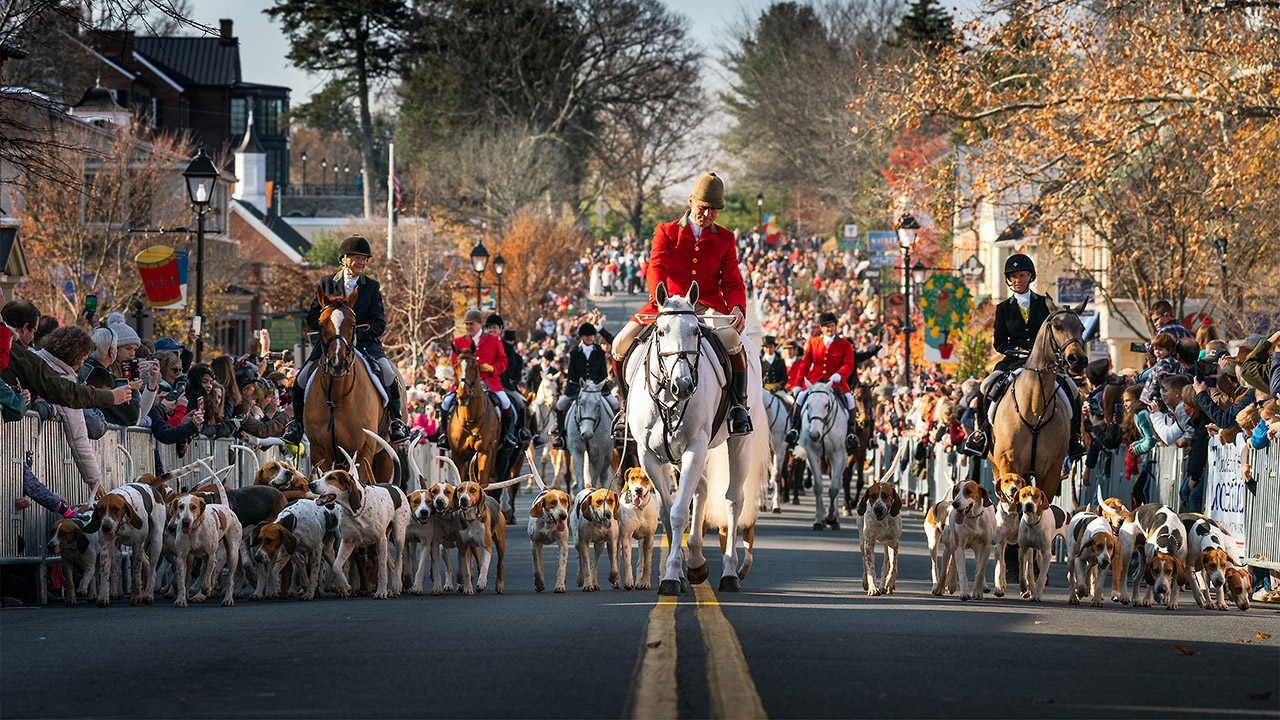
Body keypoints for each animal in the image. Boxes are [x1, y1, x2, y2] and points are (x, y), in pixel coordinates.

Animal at [448, 343, 501, 486]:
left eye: (473, 366)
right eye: (455, 366)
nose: (463, 395)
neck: (470, 419)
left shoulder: (485, 451)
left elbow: (482, 481)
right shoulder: (458, 455)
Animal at [622, 281, 757, 594]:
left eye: (696, 331)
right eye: (660, 331)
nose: (682, 385)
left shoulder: (695, 447)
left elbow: (679, 512)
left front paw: (672, 577)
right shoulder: (649, 455)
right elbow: (668, 512)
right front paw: (680, 573)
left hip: (739, 443)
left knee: (733, 500)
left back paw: (729, 572)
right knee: (702, 489)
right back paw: (695, 562)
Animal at [793, 381, 844, 527]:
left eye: (826, 405)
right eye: (808, 405)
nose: (815, 435)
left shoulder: (838, 455)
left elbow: (834, 489)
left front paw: (831, 517)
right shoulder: (812, 454)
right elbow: (818, 487)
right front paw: (819, 519)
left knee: (838, 483)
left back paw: (835, 517)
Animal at [983, 294, 1085, 502]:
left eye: (1082, 328)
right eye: (1057, 326)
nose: (1078, 360)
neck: (1034, 409)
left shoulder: (1051, 470)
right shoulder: (1008, 464)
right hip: (996, 465)